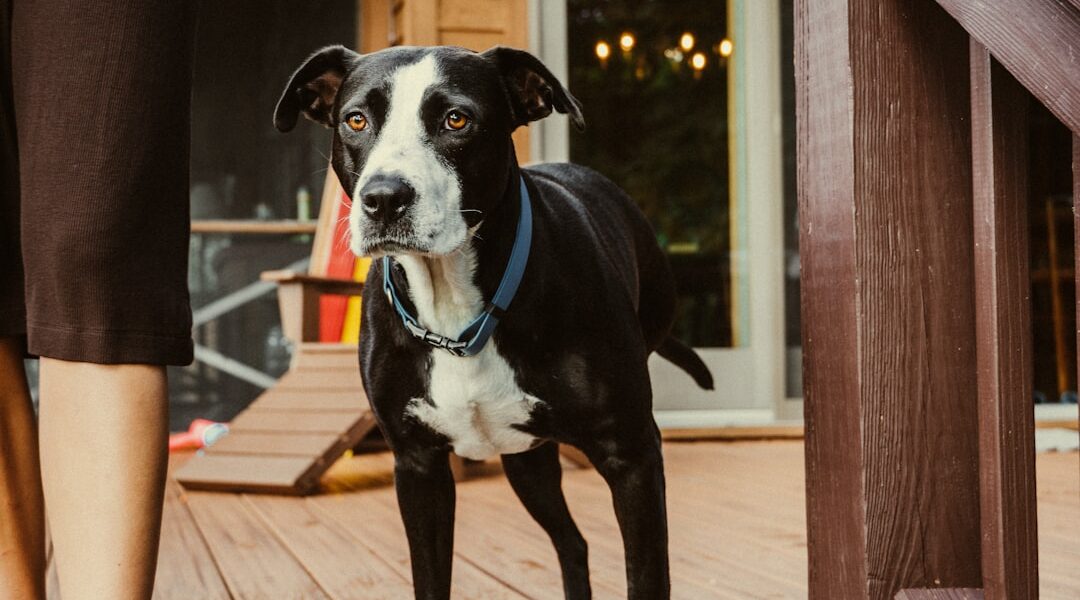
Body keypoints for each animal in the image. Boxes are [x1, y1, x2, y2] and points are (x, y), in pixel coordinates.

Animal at [278, 44, 712, 595]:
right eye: (356, 119)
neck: (455, 310)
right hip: (527, 461)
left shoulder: (631, 455)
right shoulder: (418, 467)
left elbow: (648, 576)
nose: (384, 198)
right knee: (572, 544)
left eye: (456, 119)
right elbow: (430, 577)